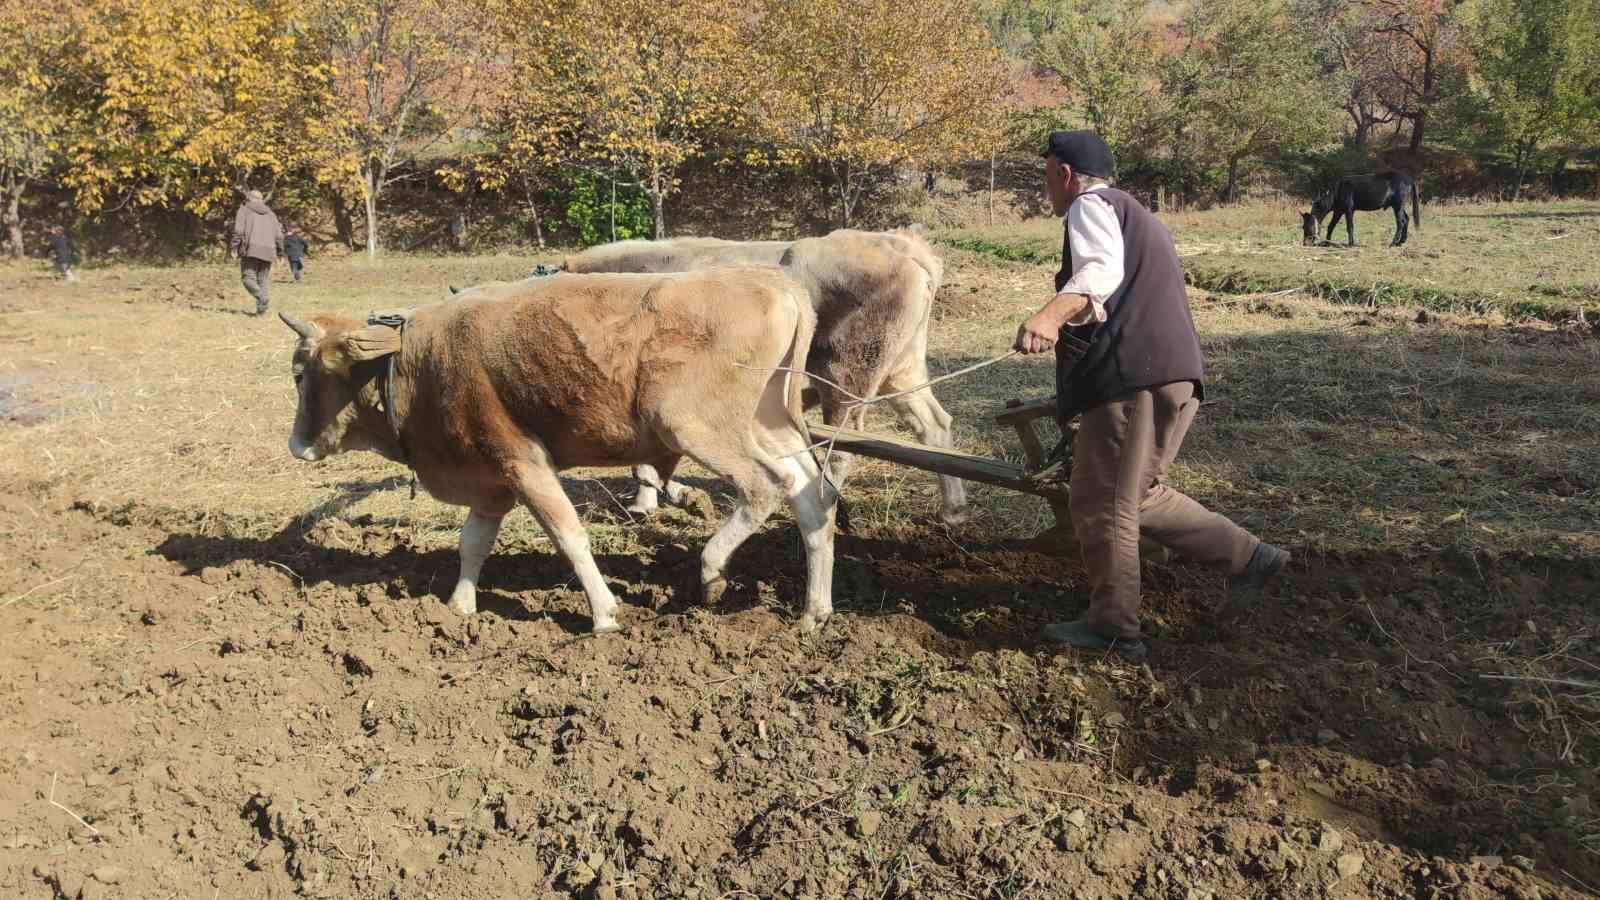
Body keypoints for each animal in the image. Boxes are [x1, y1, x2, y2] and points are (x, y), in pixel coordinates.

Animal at [1299, 169, 1427, 246]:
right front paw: (1327, 242)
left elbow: (1350, 226)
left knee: (1401, 222)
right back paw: (1401, 242)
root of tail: (1409, 178)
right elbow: (1331, 225)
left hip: (1398, 205)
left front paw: (1351, 243)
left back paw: (1393, 242)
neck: (1337, 191)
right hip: (1398, 206)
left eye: (1305, 226)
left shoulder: (1348, 210)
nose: (1305, 243)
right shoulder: (1338, 211)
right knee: (1406, 219)